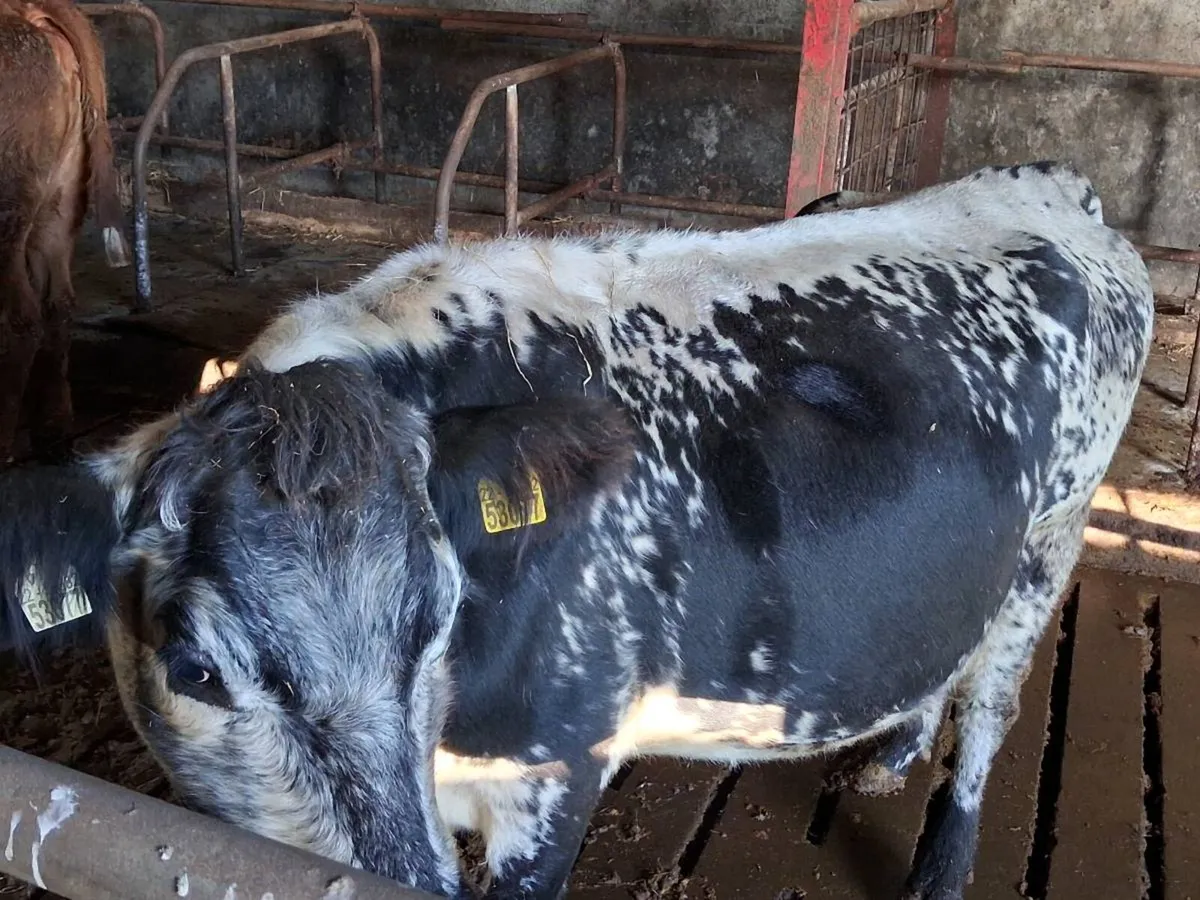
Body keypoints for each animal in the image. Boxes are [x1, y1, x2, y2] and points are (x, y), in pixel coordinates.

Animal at [0, 0, 131, 465]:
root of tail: (25, 11)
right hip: (62, 198)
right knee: (58, 303)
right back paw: (53, 430)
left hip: (7, 211)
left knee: (22, 318)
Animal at [0, 161, 1153, 900]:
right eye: (195, 670)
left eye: (437, 615)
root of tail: (1049, 185)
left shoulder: (557, 779)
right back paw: (894, 748)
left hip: (1054, 535)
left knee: (993, 700)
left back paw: (941, 866)